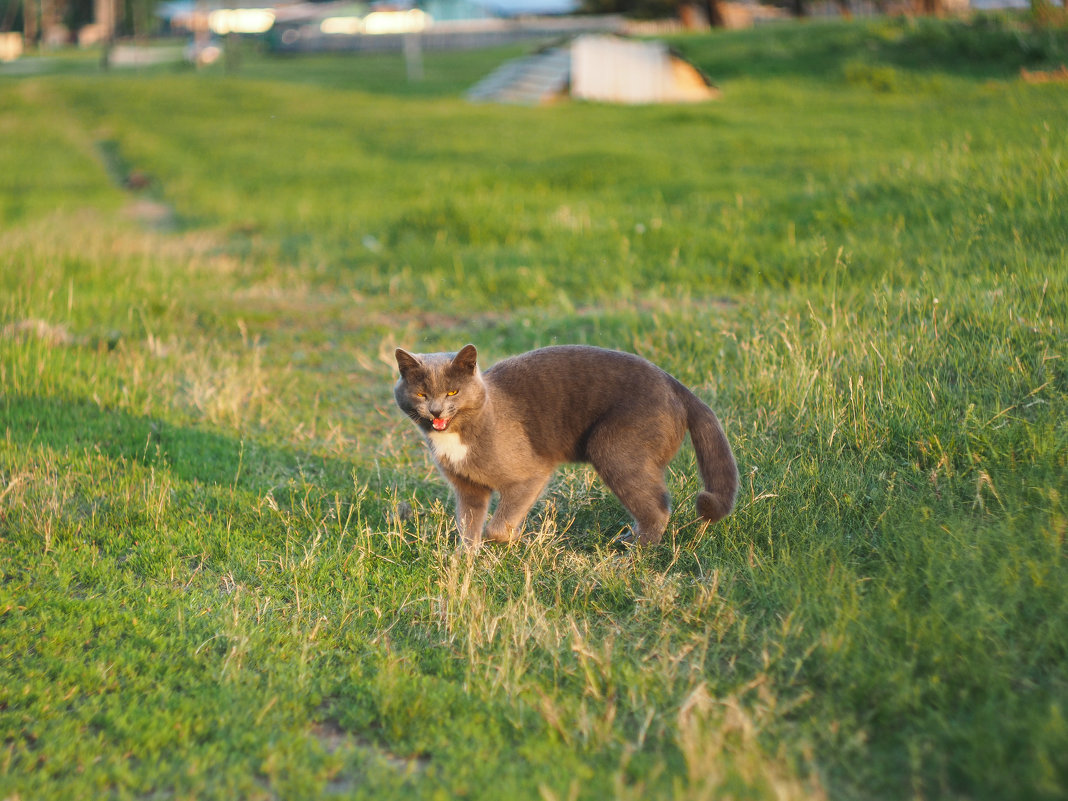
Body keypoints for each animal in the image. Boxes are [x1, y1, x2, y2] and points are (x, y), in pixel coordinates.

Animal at [397, 341, 739, 551]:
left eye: (453, 392)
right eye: (422, 394)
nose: (436, 411)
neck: (456, 437)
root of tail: (678, 386)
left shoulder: (530, 474)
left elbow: (497, 527)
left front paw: (514, 542)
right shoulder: (468, 488)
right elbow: (468, 528)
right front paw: (463, 563)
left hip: (613, 447)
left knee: (658, 508)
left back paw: (632, 556)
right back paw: (628, 540)